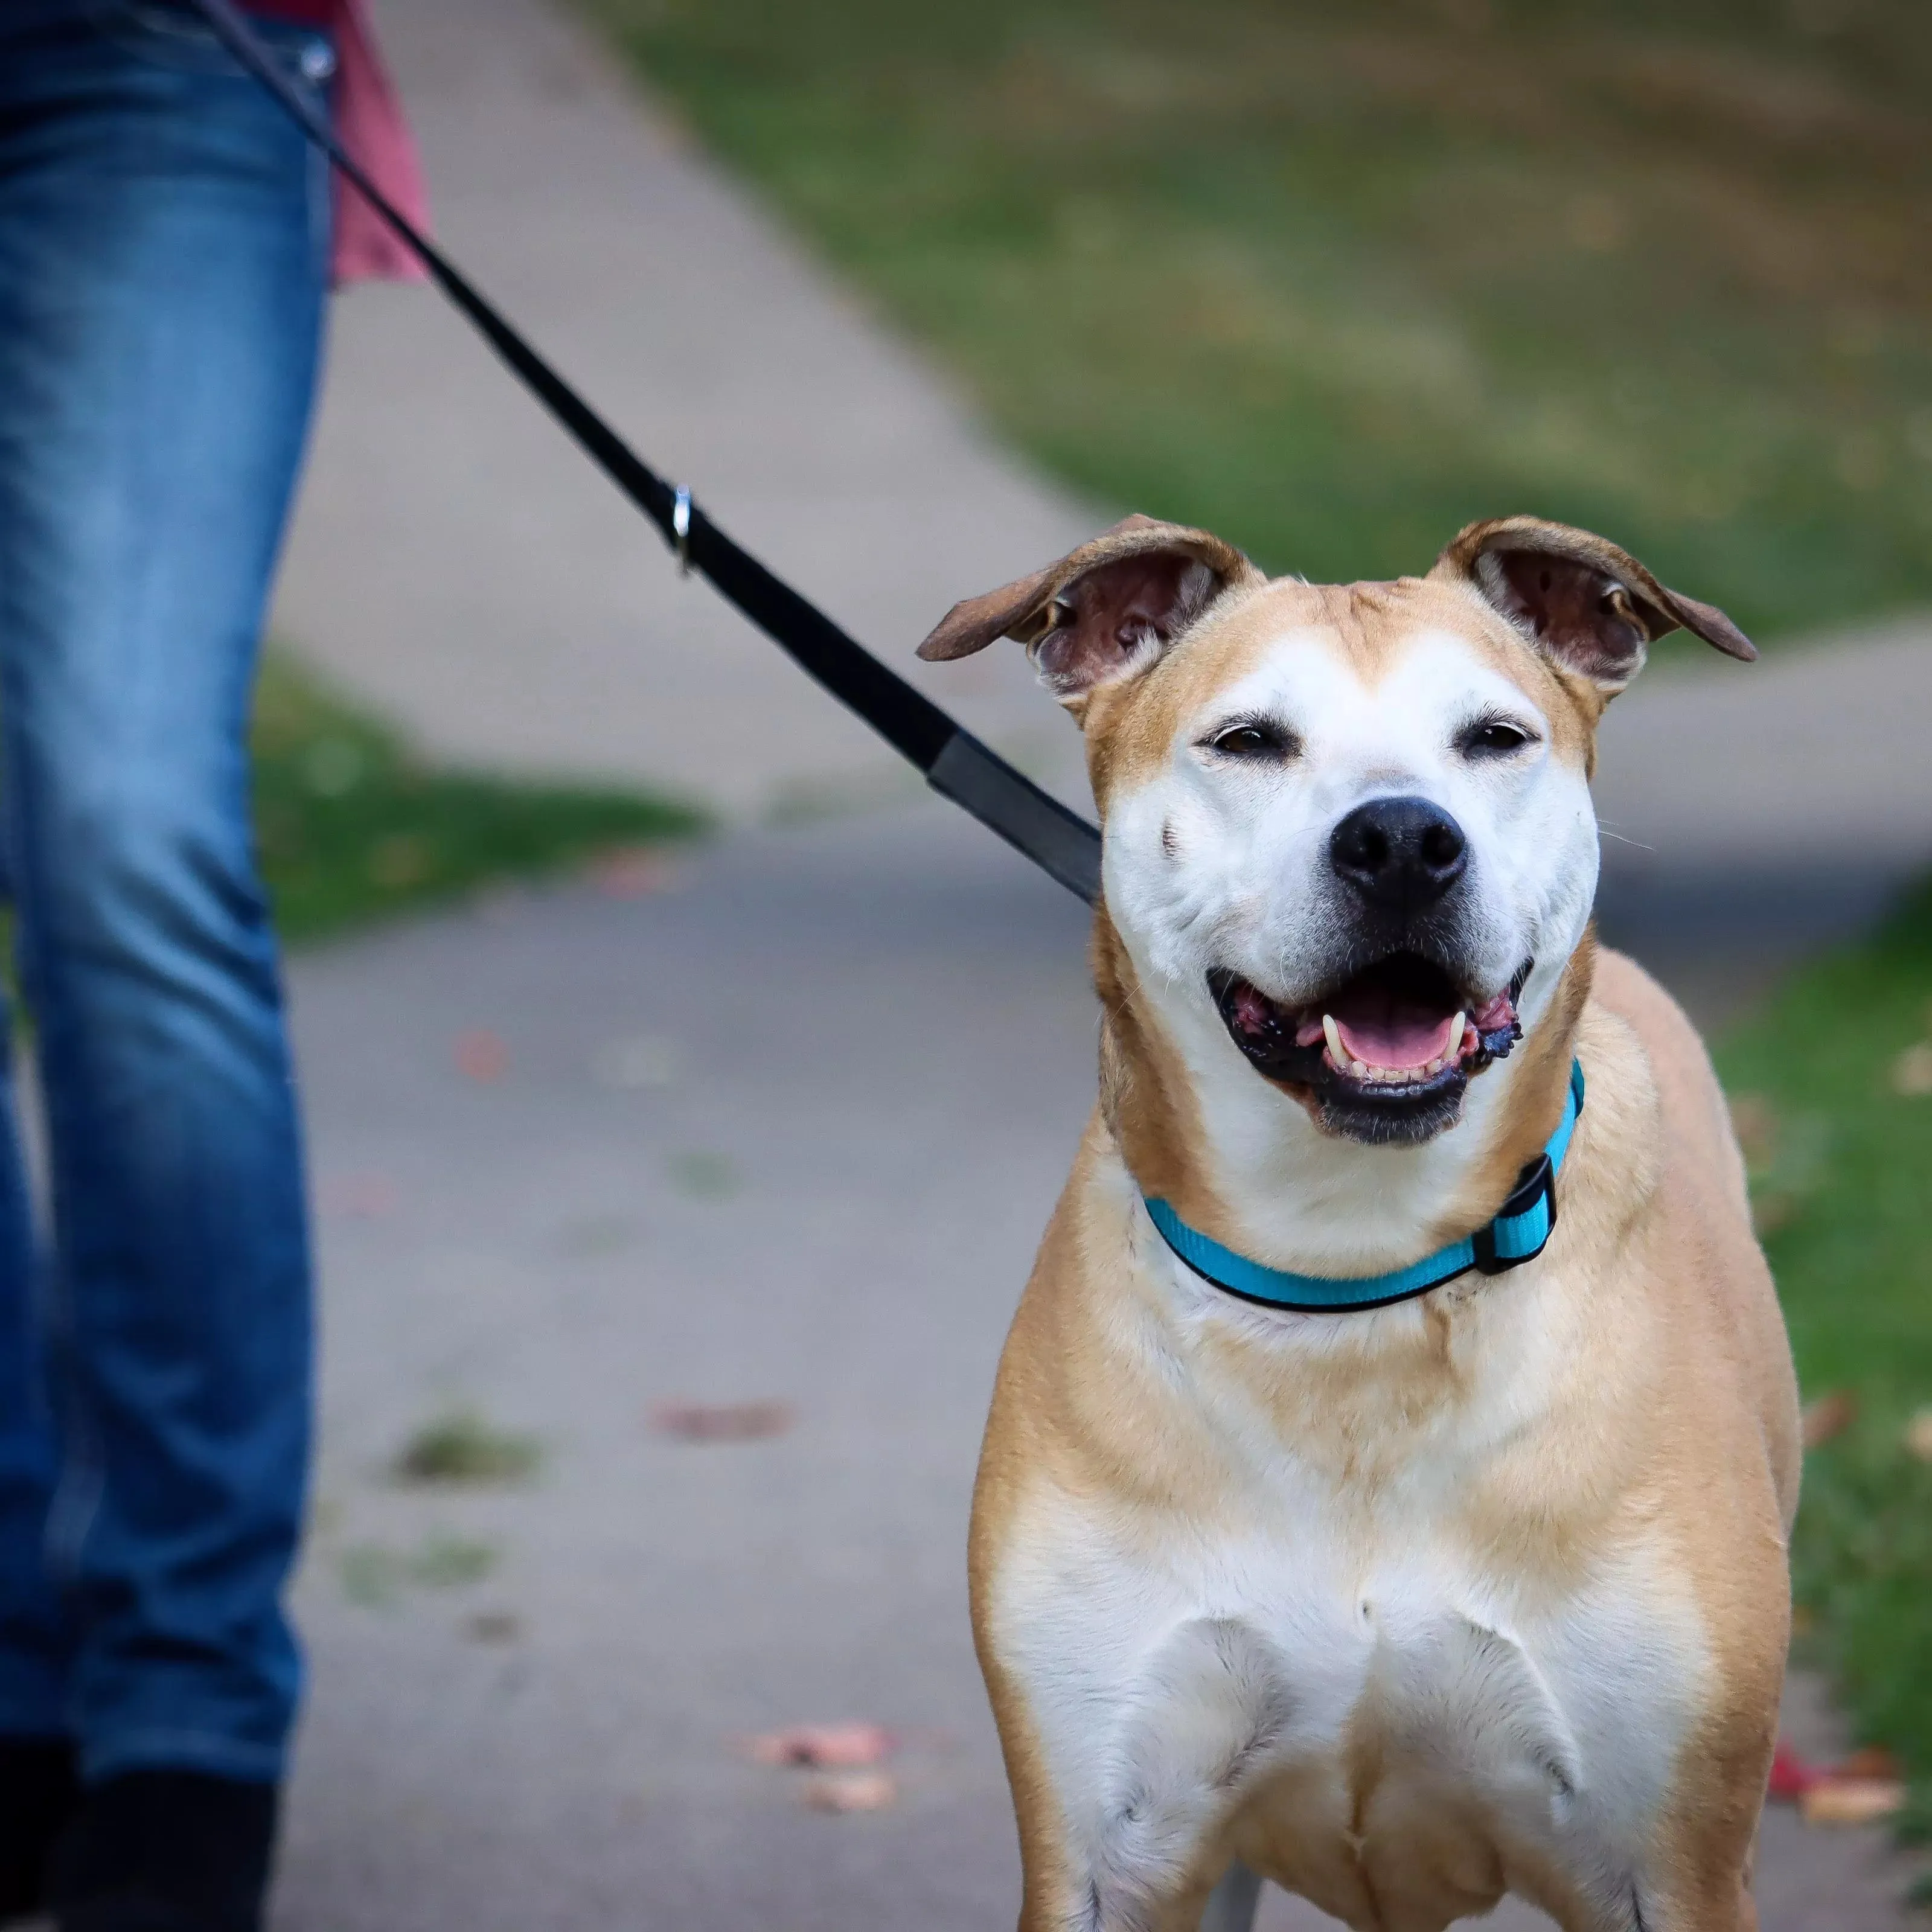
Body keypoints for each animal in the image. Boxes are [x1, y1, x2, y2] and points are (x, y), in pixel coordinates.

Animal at [915, 522, 1793, 1932]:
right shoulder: (1107, 1849)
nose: (1401, 840)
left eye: (1494, 737)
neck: (1351, 1281)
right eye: (1248, 740)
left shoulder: (1676, 1867)